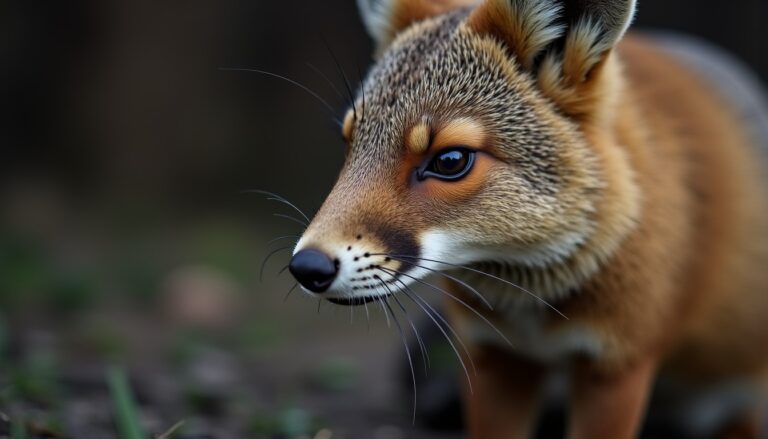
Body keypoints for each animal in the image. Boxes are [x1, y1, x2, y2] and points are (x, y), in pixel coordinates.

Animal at [281, 0, 768, 437]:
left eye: (450, 160)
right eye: (350, 143)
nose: (307, 267)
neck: (535, 313)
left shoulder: (616, 367)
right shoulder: (496, 358)